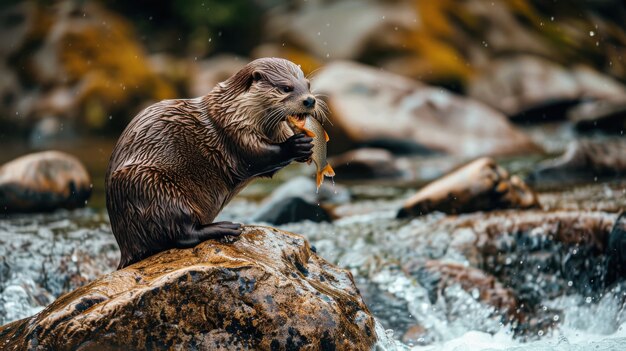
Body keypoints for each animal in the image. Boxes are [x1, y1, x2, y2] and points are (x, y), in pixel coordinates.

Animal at [103, 58, 326, 270]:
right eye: (286, 88)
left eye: (308, 85)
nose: (309, 100)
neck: (233, 110)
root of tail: (125, 247)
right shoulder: (233, 130)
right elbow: (256, 157)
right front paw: (296, 145)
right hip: (152, 188)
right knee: (181, 233)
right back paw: (227, 227)